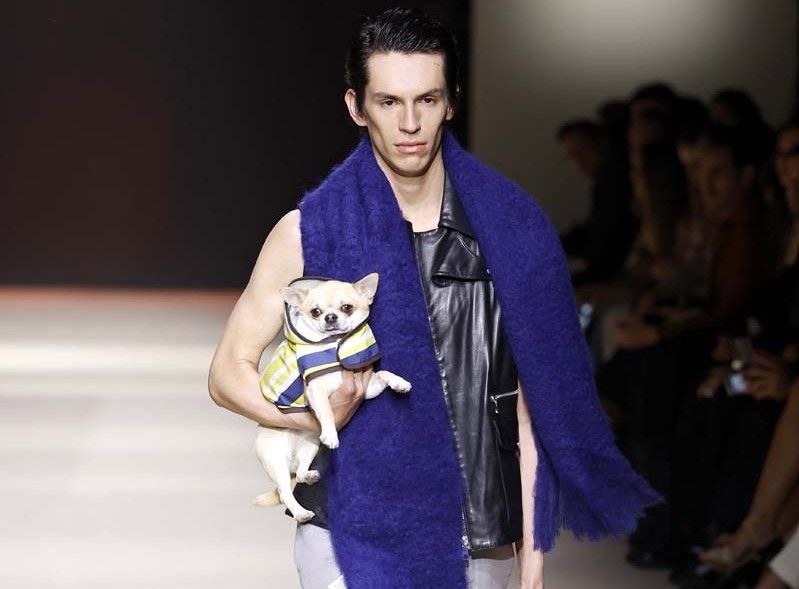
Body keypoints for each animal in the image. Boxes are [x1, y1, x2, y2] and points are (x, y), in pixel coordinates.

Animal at [253, 272, 411, 522]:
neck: (335, 345)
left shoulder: (368, 387)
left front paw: (399, 383)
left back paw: (309, 476)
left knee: (300, 472)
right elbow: (326, 410)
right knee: (286, 492)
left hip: (310, 445)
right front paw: (332, 434)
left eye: (347, 307)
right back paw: (301, 513)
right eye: (315, 312)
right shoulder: (315, 390)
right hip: (276, 458)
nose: (330, 317)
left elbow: (384, 374)